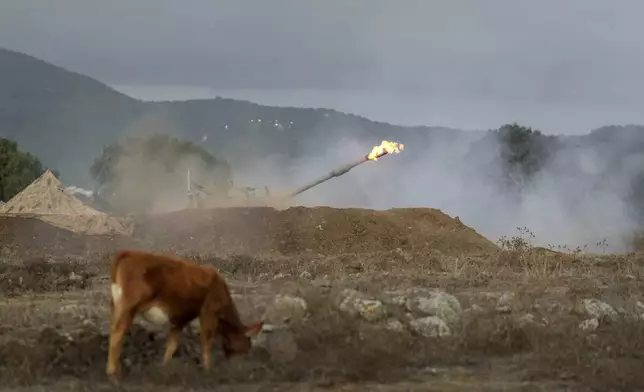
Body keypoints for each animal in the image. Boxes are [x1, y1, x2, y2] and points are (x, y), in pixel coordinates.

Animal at [107, 250, 262, 382]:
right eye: (247, 345)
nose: (240, 367)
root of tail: (128, 253)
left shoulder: (179, 319)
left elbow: (172, 344)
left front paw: (164, 368)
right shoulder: (208, 312)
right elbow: (206, 342)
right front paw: (209, 372)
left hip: (117, 306)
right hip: (129, 307)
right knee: (117, 334)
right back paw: (114, 375)